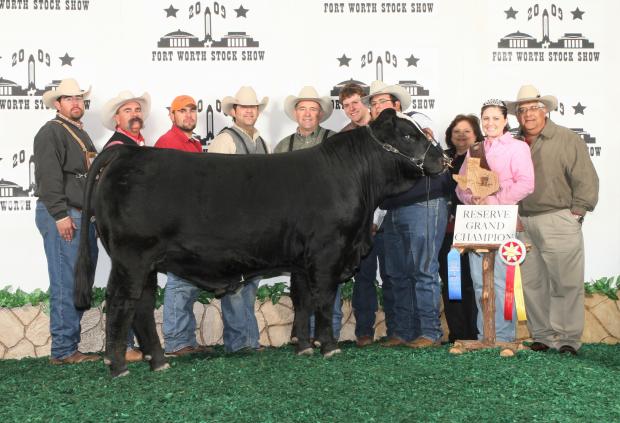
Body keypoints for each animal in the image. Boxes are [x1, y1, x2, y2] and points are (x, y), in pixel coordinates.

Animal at [75, 109, 448, 378]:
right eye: (408, 134)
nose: (442, 159)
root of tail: (127, 152)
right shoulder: (327, 252)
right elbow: (323, 300)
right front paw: (328, 346)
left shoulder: (303, 259)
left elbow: (302, 299)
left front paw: (303, 345)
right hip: (131, 257)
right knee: (121, 303)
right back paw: (118, 366)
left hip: (146, 263)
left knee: (141, 304)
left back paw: (158, 361)